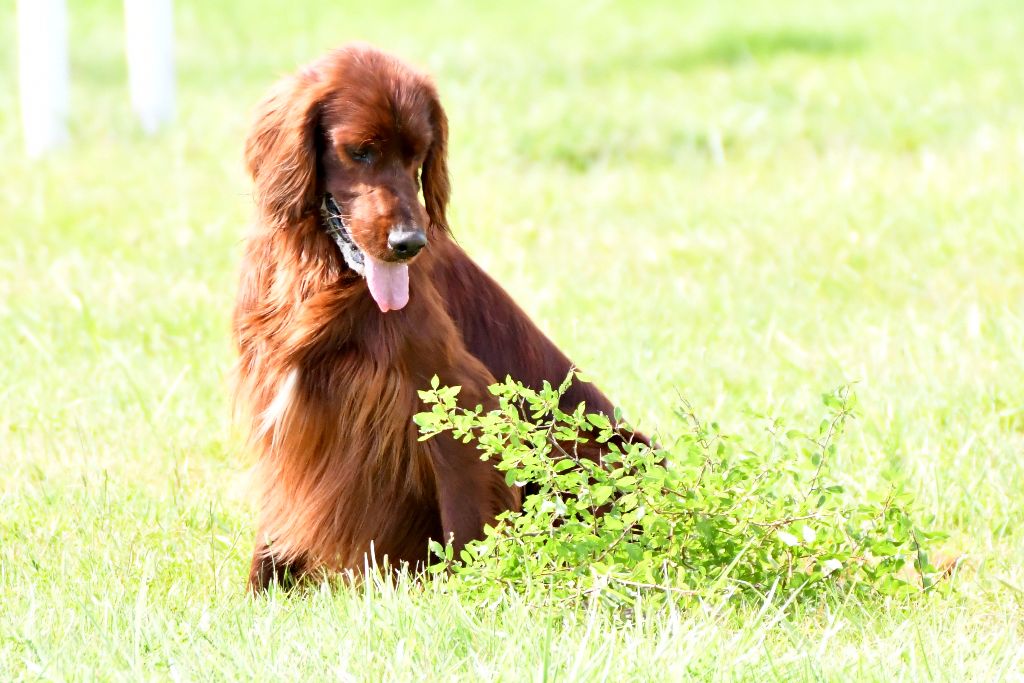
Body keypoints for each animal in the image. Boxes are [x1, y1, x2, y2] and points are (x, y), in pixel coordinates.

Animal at [235, 44, 643, 593]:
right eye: (360, 152)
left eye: (418, 156)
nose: (409, 243)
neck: (325, 275)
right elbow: (275, 522)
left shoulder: (459, 397)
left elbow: (466, 524)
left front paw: (464, 596)